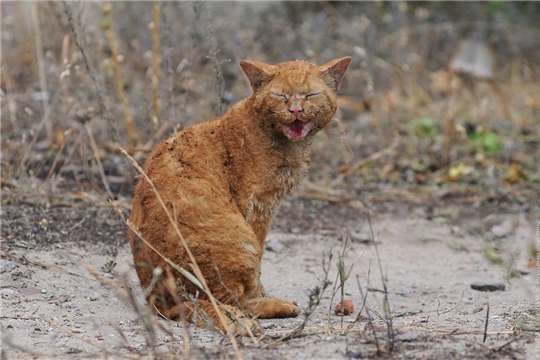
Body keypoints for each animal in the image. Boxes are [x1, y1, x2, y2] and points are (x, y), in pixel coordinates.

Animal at [129, 55, 352, 334]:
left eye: (310, 95)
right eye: (281, 96)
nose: (296, 110)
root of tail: (160, 302)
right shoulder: (257, 206)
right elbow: (258, 267)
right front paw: (261, 293)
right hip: (238, 243)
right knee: (229, 301)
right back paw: (269, 310)